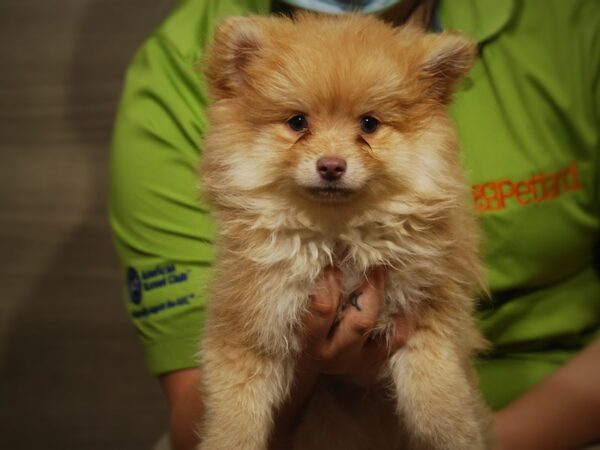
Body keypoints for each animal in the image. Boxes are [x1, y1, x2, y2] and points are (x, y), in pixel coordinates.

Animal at [198, 12, 492, 448]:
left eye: (369, 124)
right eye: (298, 122)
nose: (331, 165)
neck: (337, 233)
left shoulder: (427, 308)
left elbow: (438, 393)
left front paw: (455, 435)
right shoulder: (251, 322)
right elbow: (236, 417)